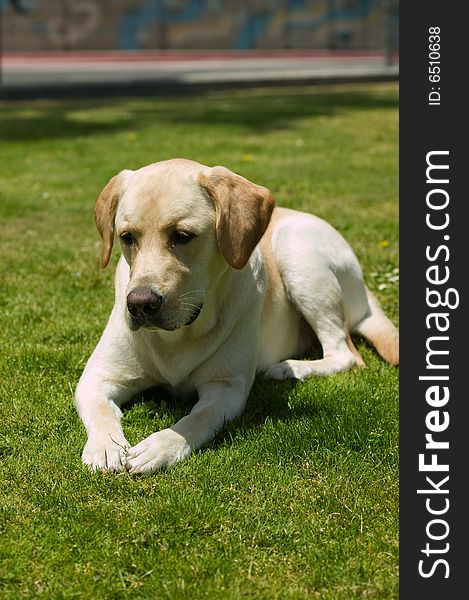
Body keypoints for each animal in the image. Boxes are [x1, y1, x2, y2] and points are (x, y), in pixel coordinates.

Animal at [75, 158, 396, 474]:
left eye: (182, 236)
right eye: (127, 237)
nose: (141, 304)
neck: (178, 336)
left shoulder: (226, 388)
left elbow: (197, 419)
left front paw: (160, 446)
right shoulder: (98, 376)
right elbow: (102, 411)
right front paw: (105, 447)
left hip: (297, 251)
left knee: (346, 353)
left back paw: (290, 367)